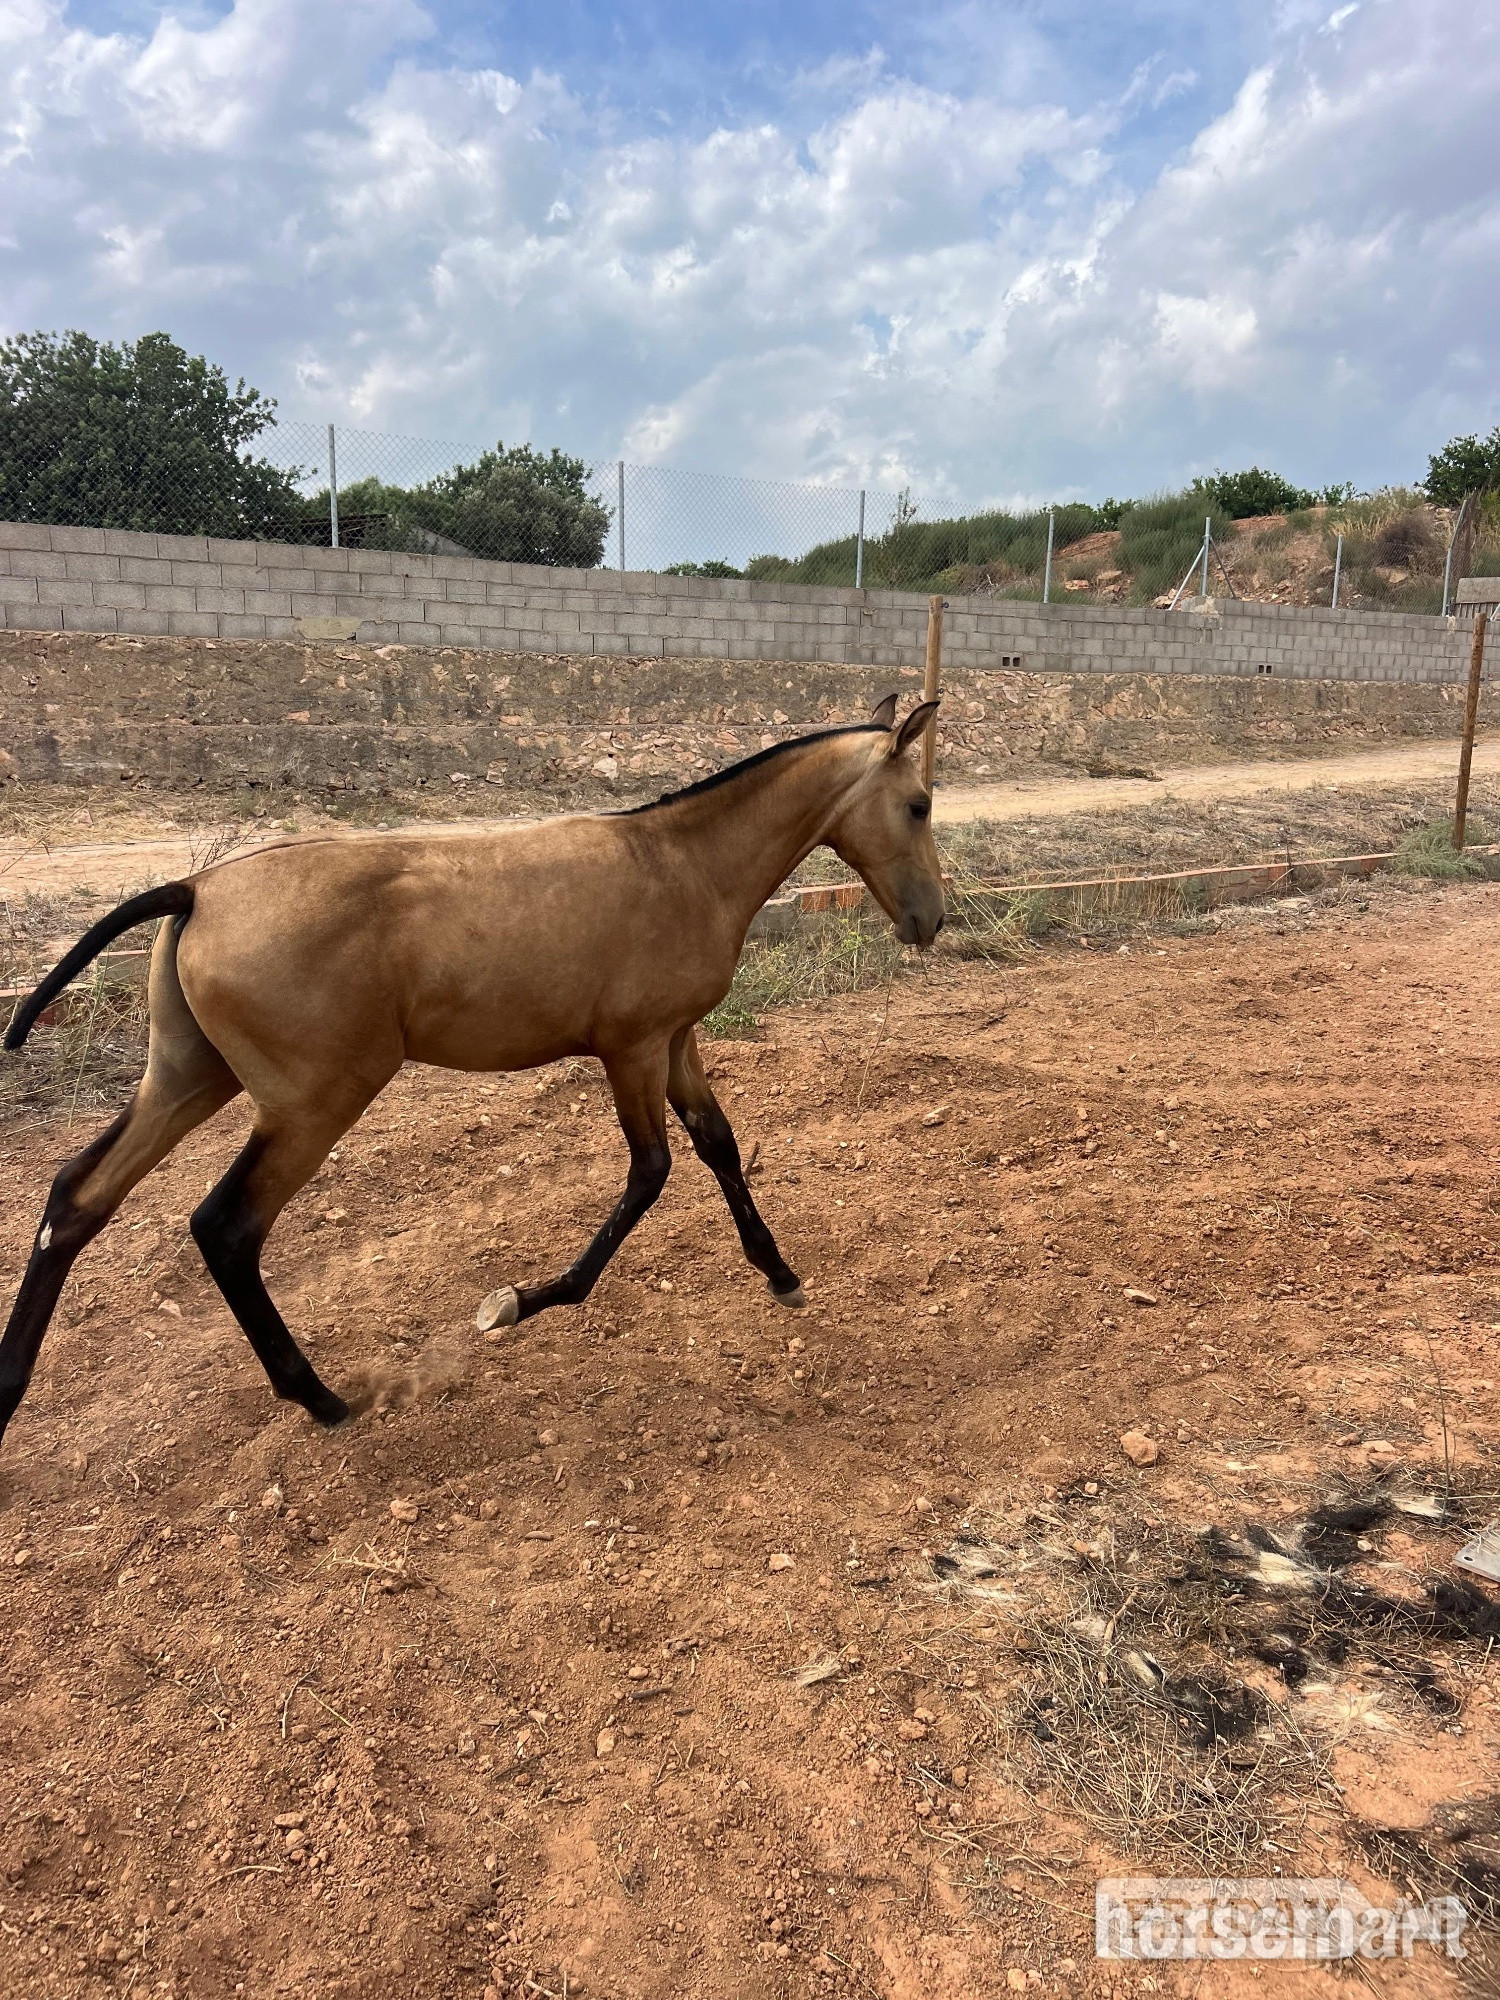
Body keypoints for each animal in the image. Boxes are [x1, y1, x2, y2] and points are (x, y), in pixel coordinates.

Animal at [0, 694, 943, 1452]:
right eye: (920, 802)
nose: (930, 921)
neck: (680, 863)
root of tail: (195, 889)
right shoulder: (633, 1048)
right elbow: (650, 1173)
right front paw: (525, 1300)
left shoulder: (676, 1041)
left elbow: (719, 1145)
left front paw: (779, 1273)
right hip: (312, 1104)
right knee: (224, 1227)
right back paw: (322, 1400)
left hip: (189, 1079)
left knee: (78, 1196)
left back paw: (9, 1390)